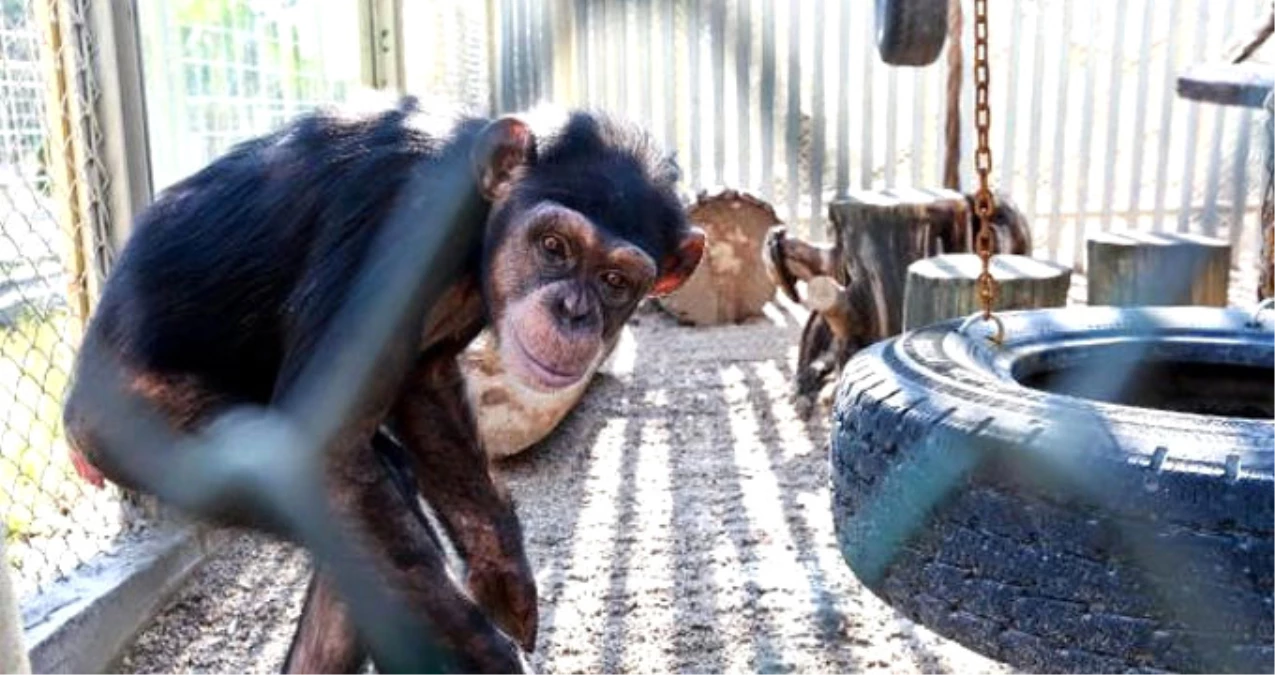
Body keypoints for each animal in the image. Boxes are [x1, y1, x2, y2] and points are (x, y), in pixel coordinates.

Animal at [62, 96, 708, 673]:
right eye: (554, 246)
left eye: (615, 281)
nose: (574, 310)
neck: (479, 218)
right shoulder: (398, 214)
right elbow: (324, 448)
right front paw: (495, 658)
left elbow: (423, 387)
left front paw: (504, 575)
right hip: (141, 429)